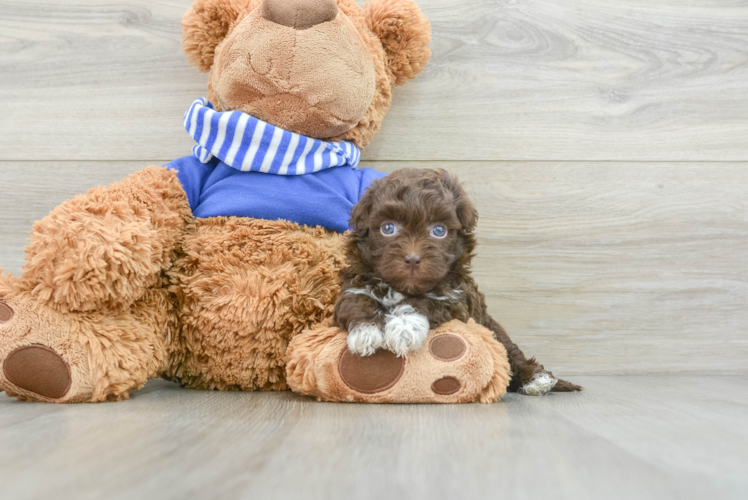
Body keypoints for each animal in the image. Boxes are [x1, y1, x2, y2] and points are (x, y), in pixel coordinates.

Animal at [334, 168, 584, 394]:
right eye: (388, 228)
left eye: (439, 230)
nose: (413, 259)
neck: (403, 288)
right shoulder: (354, 284)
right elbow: (356, 300)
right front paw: (366, 332)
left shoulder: (457, 299)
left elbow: (429, 300)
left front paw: (404, 327)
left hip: (496, 332)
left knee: (512, 354)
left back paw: (537, 380)